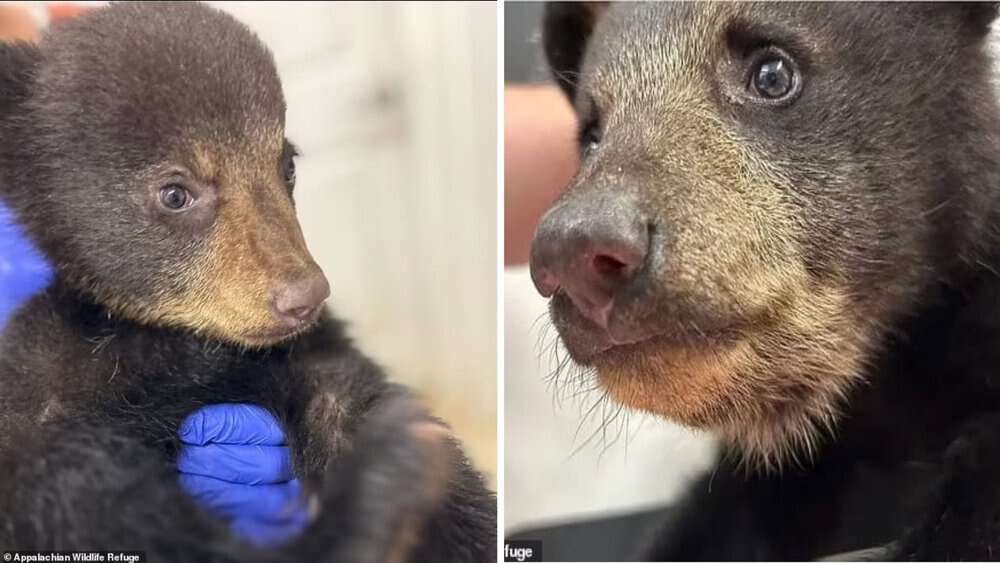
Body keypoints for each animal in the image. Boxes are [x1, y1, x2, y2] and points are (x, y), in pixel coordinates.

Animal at [0, 3, 495, 562]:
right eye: (176, 193)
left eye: (287, 164)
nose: (305, 296)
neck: (180, 341)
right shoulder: (41, 383)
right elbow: (91, 507)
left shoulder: (311, 355)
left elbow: (352, 408)